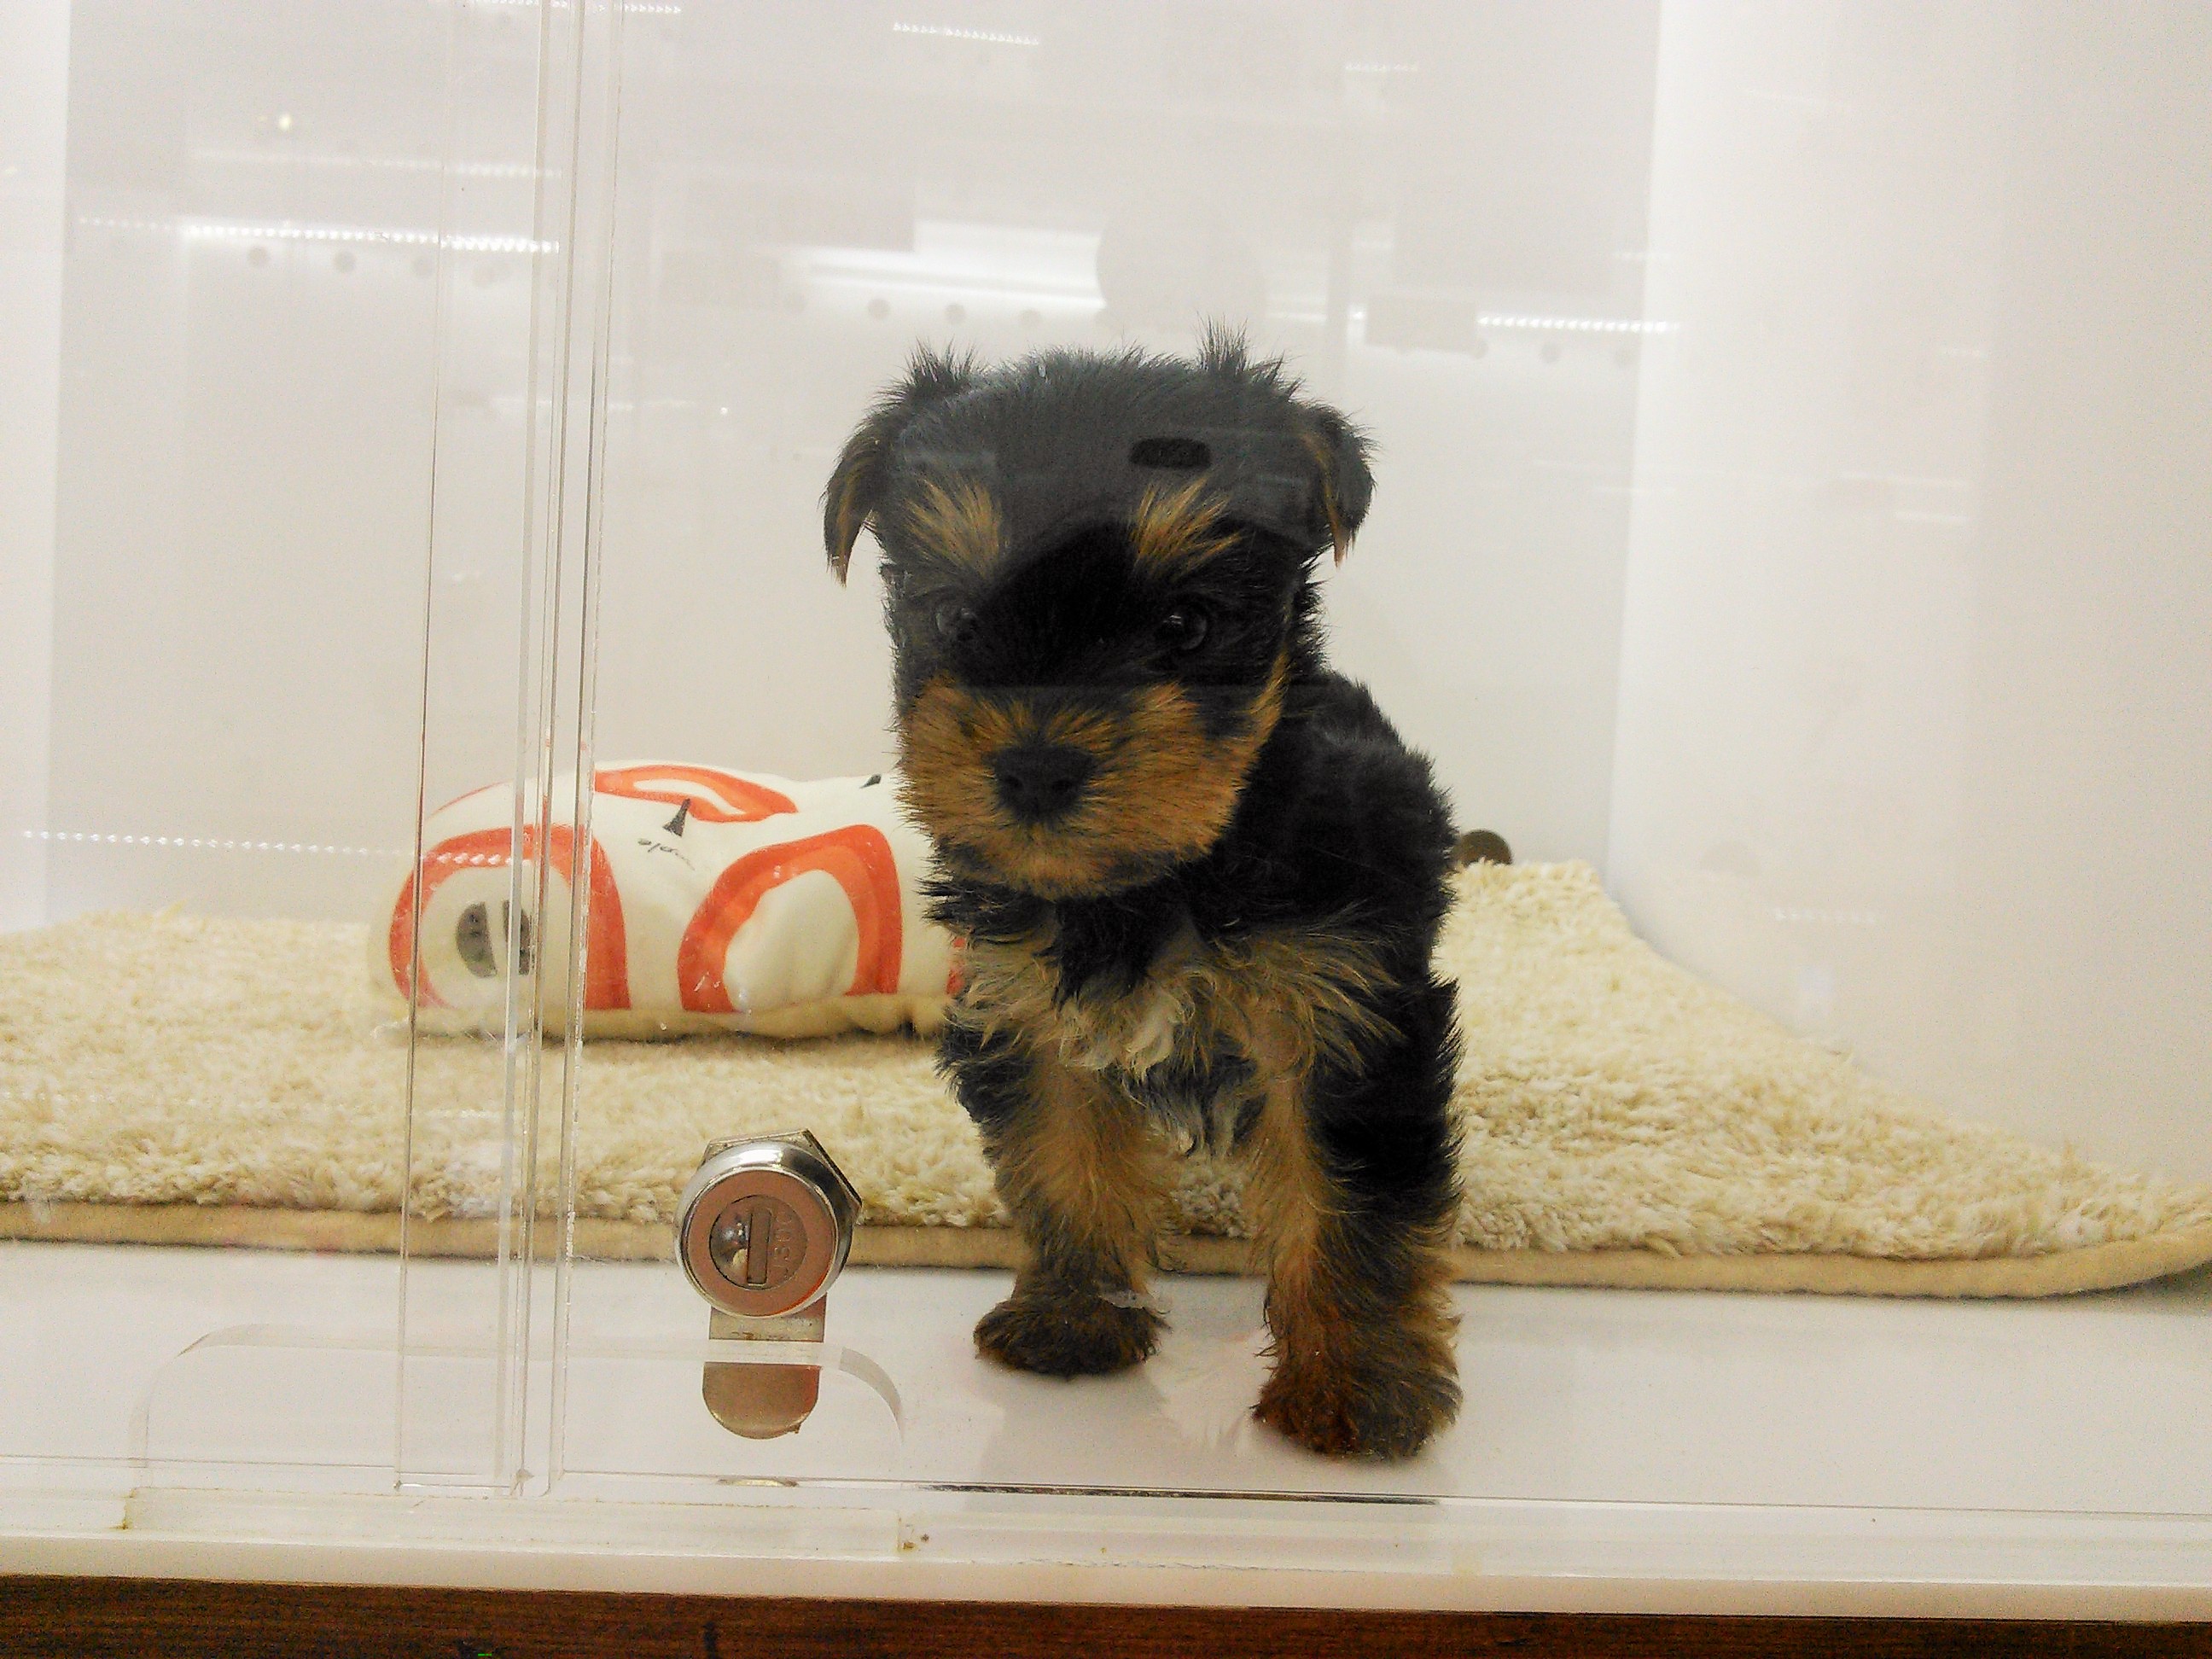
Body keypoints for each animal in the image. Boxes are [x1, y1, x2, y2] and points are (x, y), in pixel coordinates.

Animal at [821, 332, 1462, 1459]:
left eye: (1185, 622)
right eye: (955, 617)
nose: (1035, 768)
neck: (1161, 880)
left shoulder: (1341, 1012)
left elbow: (1351, 1201)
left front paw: (1359, 1385)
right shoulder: (1027, 1009)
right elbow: (1061, 1155)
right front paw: (1074, 1316)